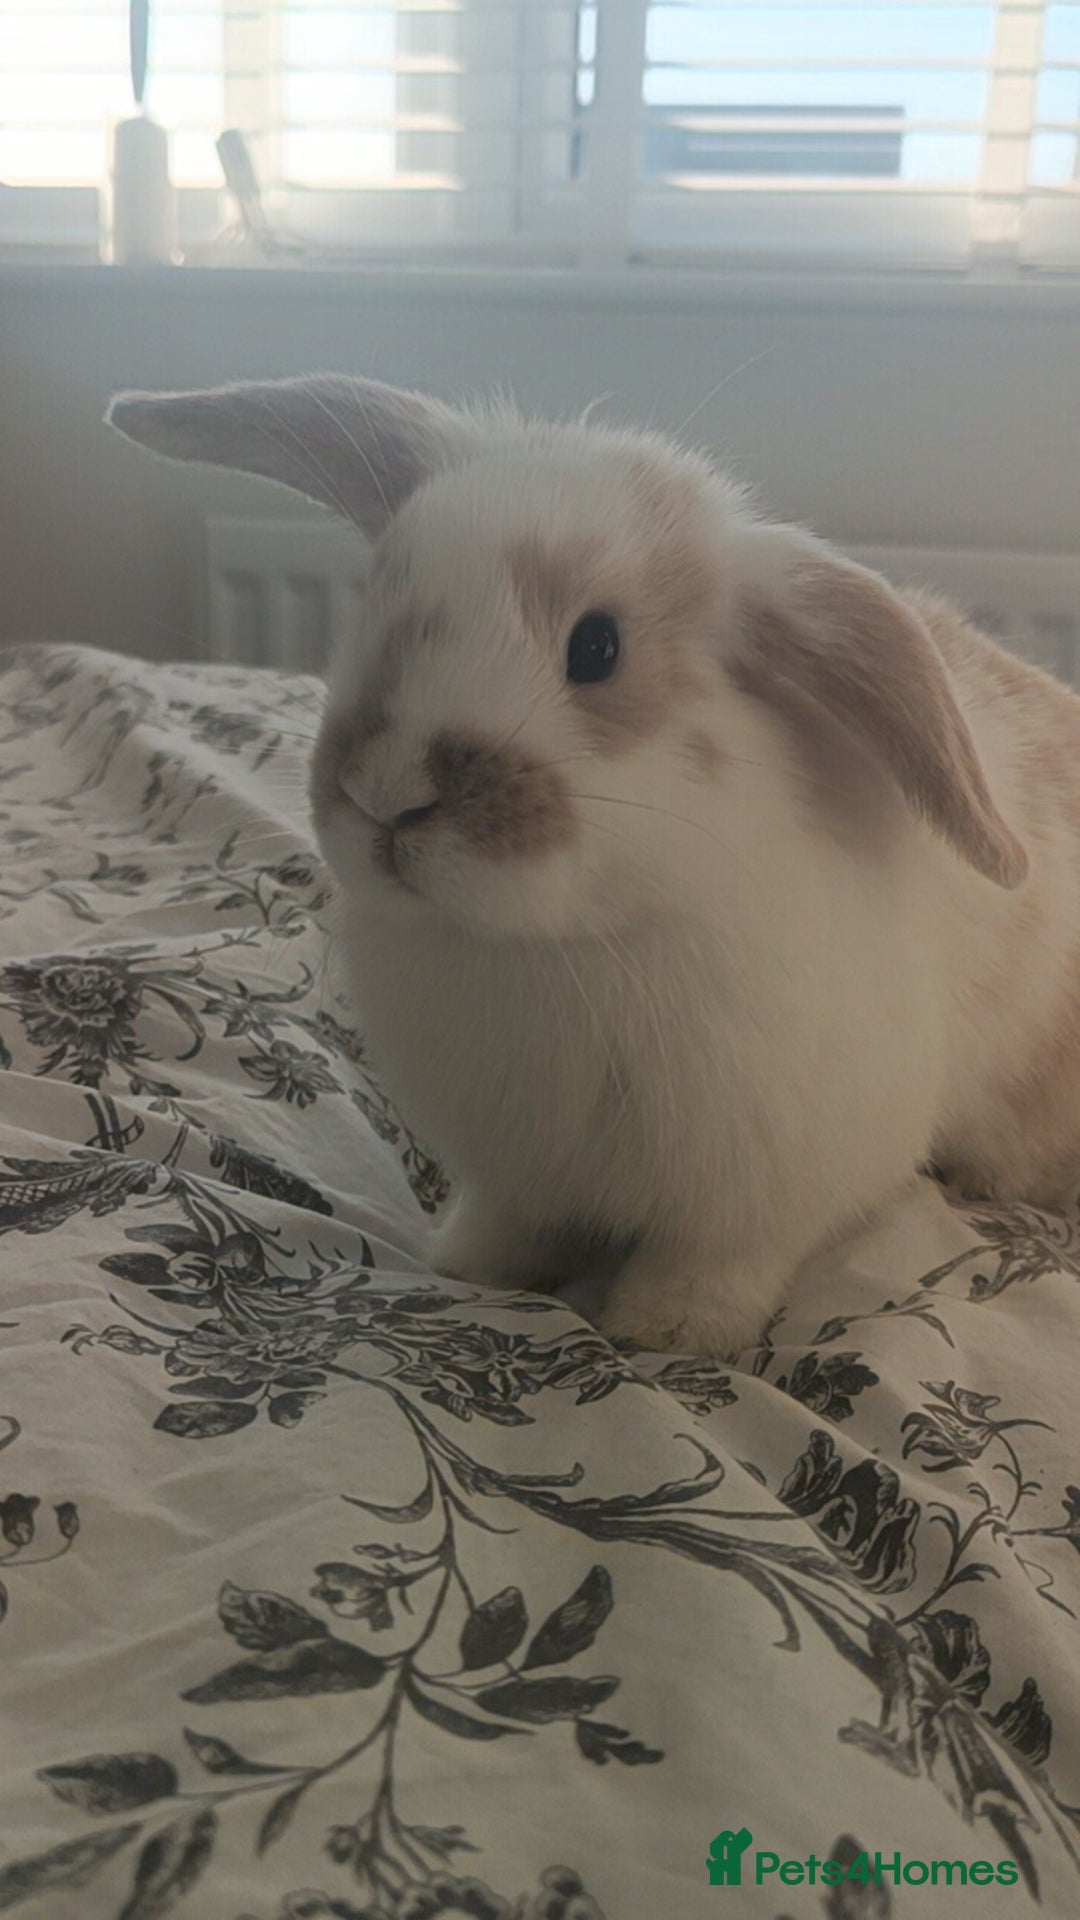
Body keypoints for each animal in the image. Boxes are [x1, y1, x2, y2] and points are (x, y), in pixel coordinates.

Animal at [107, 373, 1080, 1358]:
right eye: (377, 594)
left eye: (598, 647)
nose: (386, 793)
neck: (563, 944)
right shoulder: (515, 1172)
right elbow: (510, 1227)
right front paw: (466, 1270)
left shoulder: (767, 1185)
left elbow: (721, 1259)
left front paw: (669, 1328)